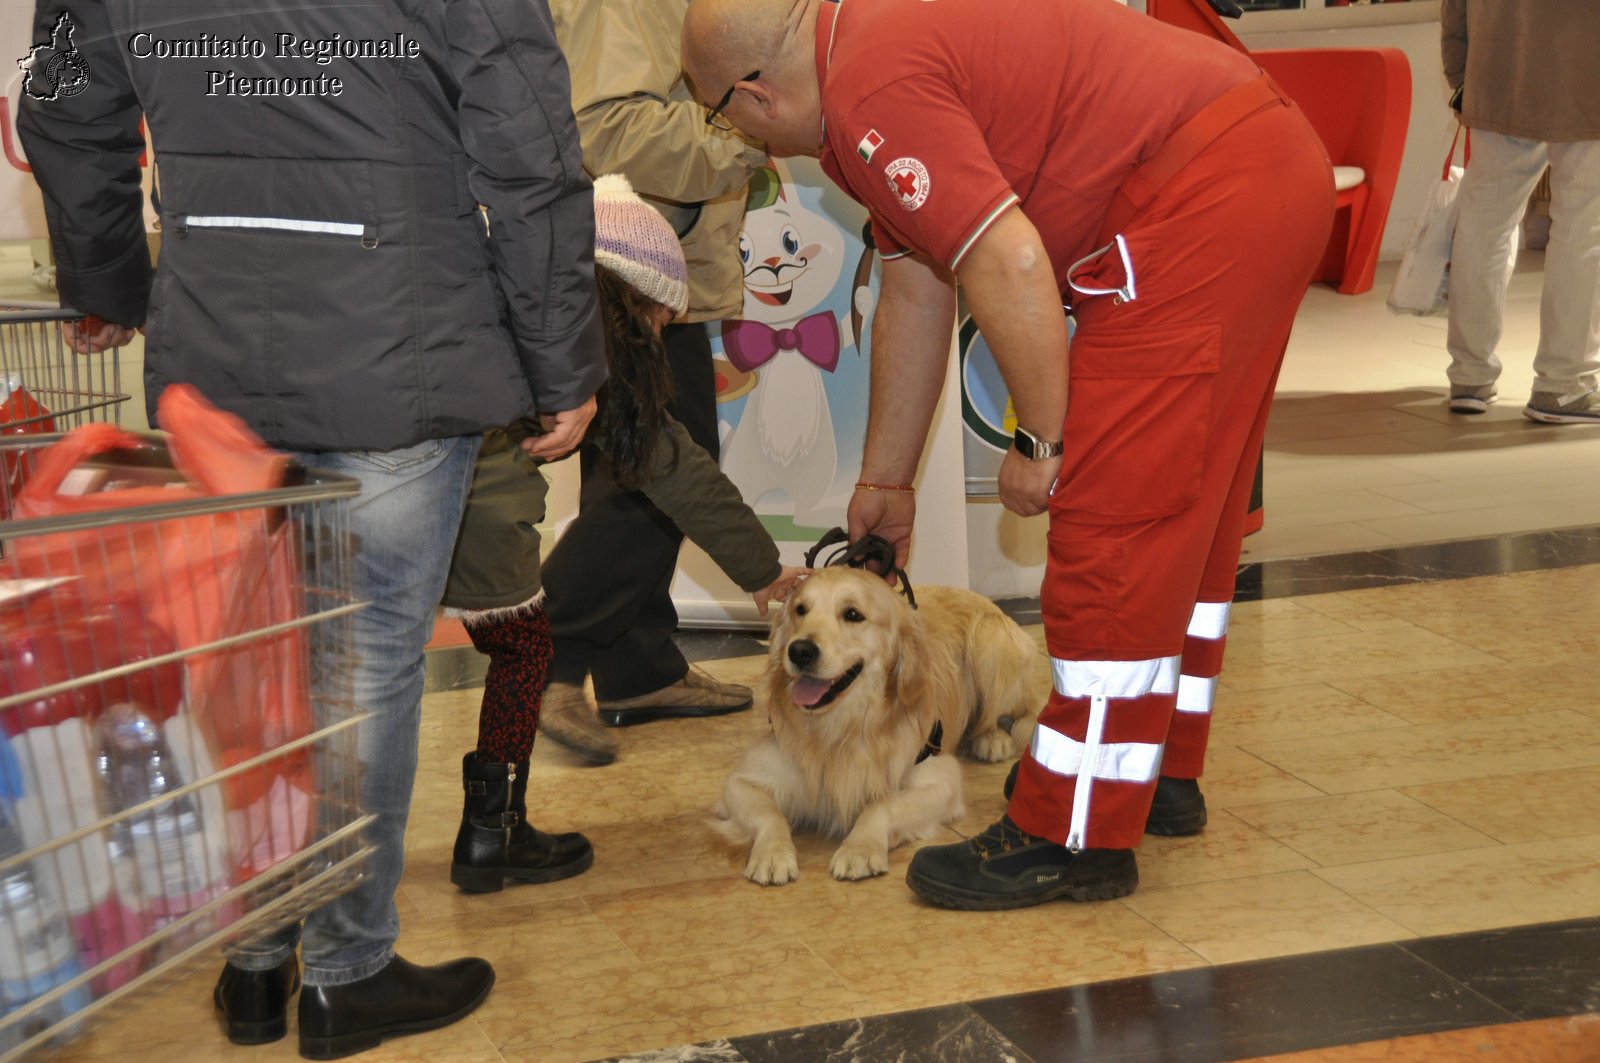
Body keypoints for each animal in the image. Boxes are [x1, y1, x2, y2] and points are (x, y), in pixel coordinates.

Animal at [713, 569, 1036, 883]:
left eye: (853, 614)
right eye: (800, 609)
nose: (800, 651)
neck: (842, 726)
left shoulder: (941, 781)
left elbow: (882, 805)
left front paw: (859, 849)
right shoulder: (743, 780)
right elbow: (769, 813)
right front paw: (772, 855)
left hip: (992, 644)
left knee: (1017, 712)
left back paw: (991, 738)